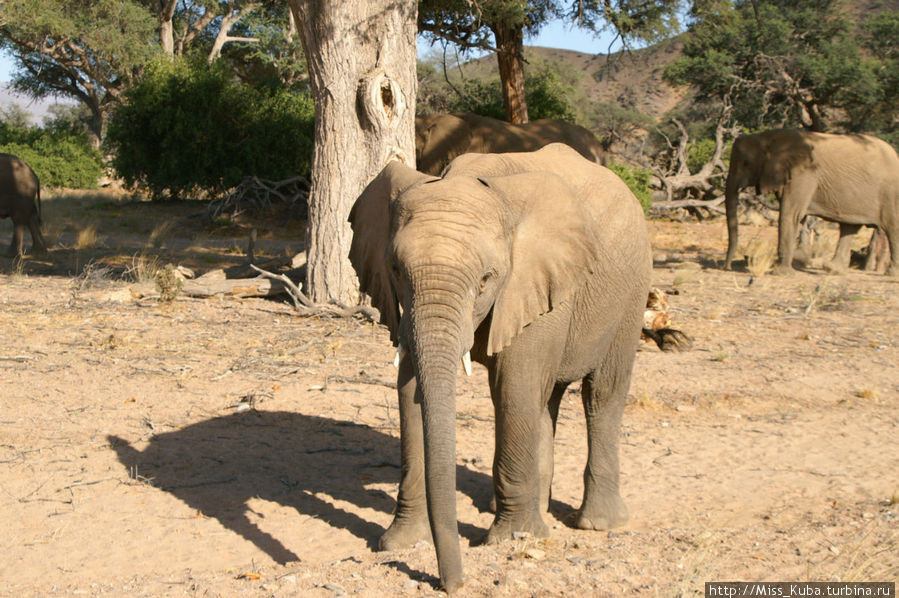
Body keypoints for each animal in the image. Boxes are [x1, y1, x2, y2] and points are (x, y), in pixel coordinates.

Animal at [348, 143, 652, 592]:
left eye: (486, 278)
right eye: (397, 270)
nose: (451, 584)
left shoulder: (535, 279)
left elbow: (516, 385)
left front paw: (510, 540)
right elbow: (409, 392)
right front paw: (400, 543)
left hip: (633, 287)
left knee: (601, 393)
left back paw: (596, 524)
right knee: (547, 399)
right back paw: (536, 509)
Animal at [724, 130, 899, 276]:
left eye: (746, 163)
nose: (728, 267)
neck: (769, 137)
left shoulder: (804, 174)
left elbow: (790, 214)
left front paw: (782, 273)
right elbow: (796, 217)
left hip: (890, 194)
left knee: (892, 228)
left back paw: (891, 274)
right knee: (849, 226)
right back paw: (832, 270)